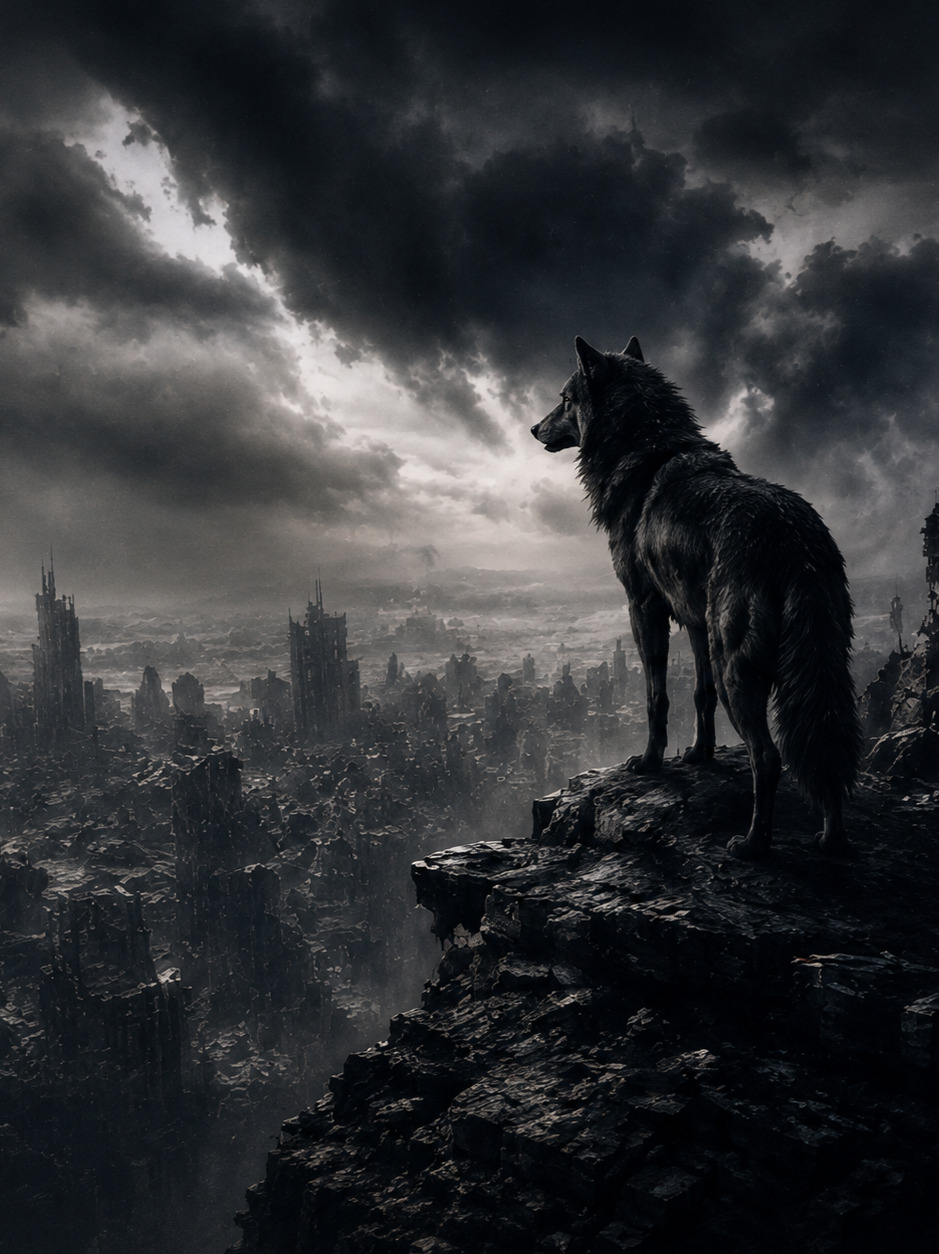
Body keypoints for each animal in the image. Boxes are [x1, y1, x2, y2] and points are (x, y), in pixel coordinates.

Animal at [531, 336, 862, 859]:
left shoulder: (643, 608)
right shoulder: (694, 620)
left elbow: (656, 696)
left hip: (736, 667)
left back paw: (753, 844)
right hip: (817, 666)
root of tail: (797, 542)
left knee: (768, 757)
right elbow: (698, 694)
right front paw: (701, 754)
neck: (643, 451)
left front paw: (649, 761)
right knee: (824, 743)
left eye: (564, 398)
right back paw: (831, 838)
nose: (532, 428)